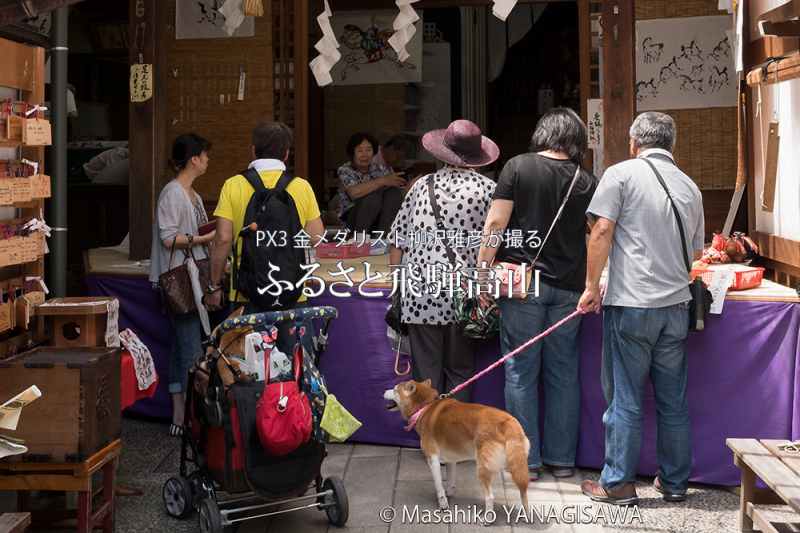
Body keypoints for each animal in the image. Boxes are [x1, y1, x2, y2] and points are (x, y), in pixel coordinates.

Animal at [386, 378, 532, 516]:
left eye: (394, 389)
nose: (384, 391)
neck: (425, 407)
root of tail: (508, 421)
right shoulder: (451, 460)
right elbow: (450, 480)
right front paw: (449, 493)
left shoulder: (433, 459)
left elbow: (438, 485)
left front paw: (443, 504)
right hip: (513, 464)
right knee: (523, 491)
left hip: (483, 467)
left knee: (490, 496)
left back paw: (488, 518)